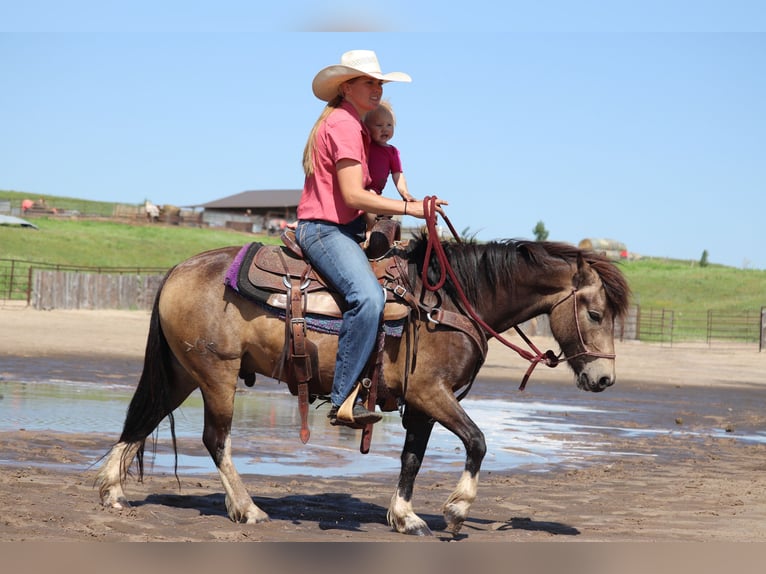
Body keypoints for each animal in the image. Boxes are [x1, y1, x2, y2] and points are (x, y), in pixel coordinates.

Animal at [95, 231, 630, 536]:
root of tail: (178, 270)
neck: (449, 304)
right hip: (216, 375)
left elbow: (412, 457)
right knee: (215, 439)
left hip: (183, 373)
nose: (604, 378)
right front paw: (457, 510)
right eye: (595, 314)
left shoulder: (422, 404)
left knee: (142, 417)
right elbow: (478, 441)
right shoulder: (431, 393)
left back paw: (114, 492)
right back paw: (247, 509)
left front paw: (405, 516)